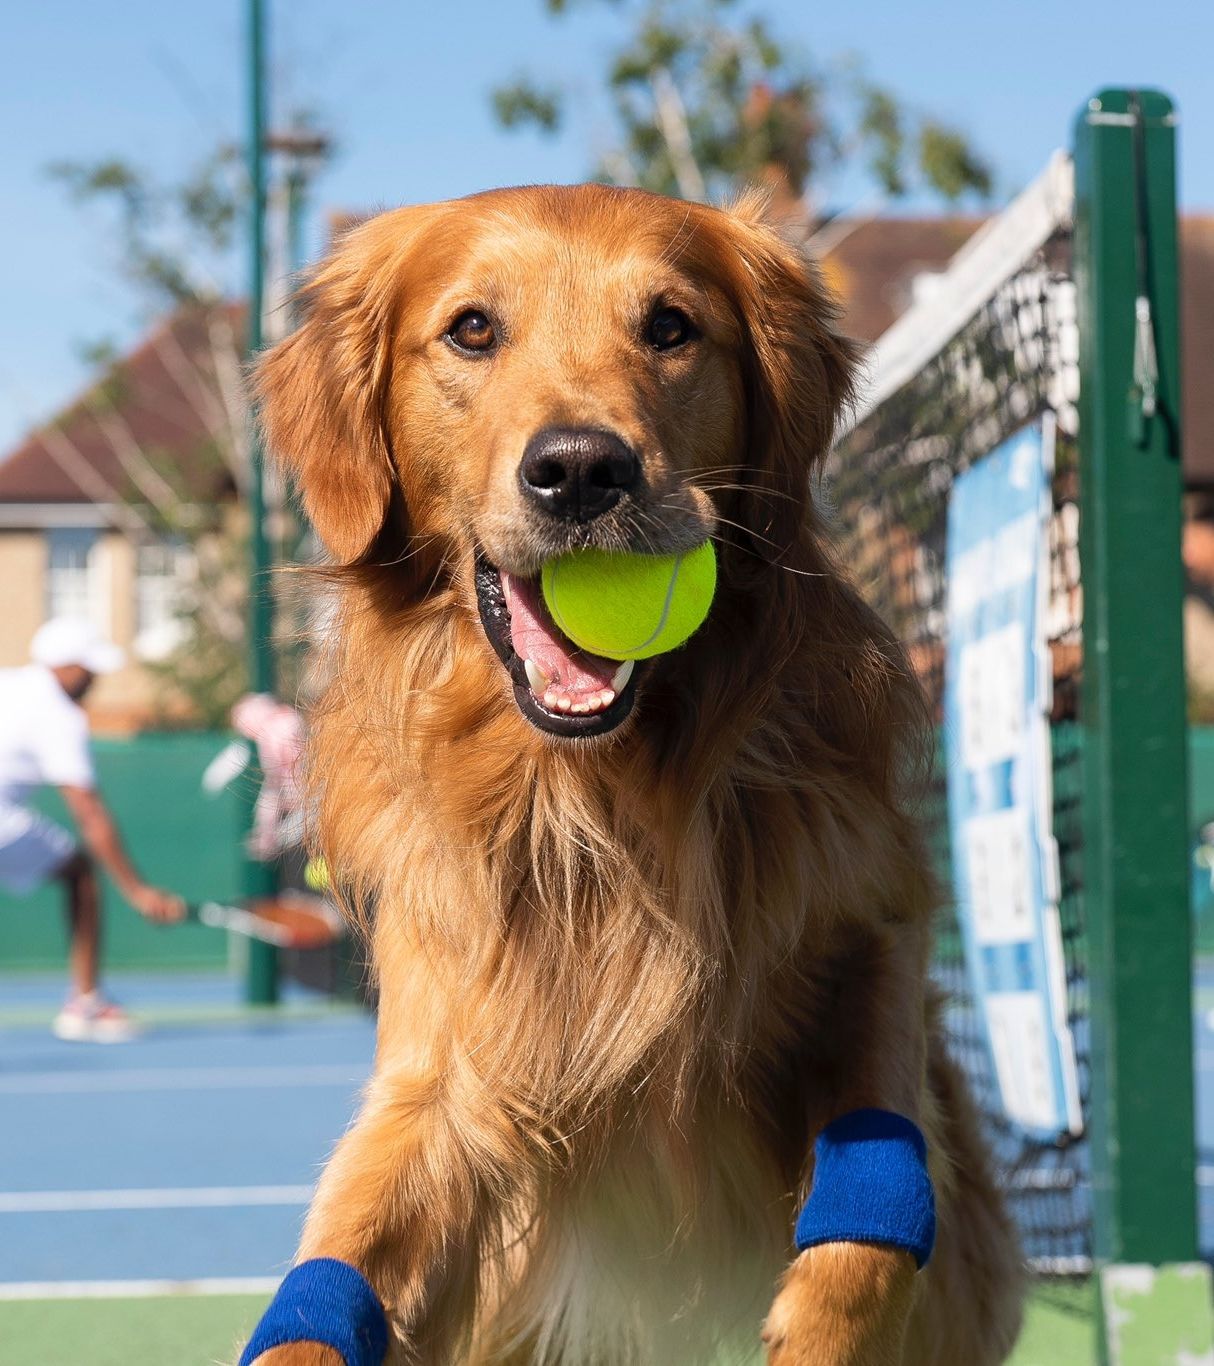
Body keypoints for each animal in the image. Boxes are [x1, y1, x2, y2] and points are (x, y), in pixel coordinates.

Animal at [248, 184, 1021, 1366]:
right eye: (472, 329)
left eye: (669, 327)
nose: (579, 470)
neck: (593, 809)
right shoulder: (446, 1070)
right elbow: (330, 1284)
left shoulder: (865, 924)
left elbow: (868, 1201)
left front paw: (819, 1319)